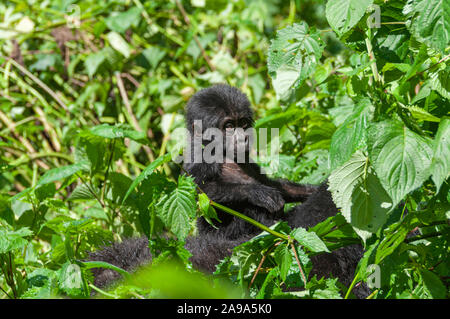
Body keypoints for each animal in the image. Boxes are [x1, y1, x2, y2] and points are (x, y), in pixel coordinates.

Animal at [89, 84, 370, 298]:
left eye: (243, 123)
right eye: (227, 126)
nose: (243, 137)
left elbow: (274, 184)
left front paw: (306, 190)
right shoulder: (197, 157)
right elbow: (202, 193)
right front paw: (259, 194)